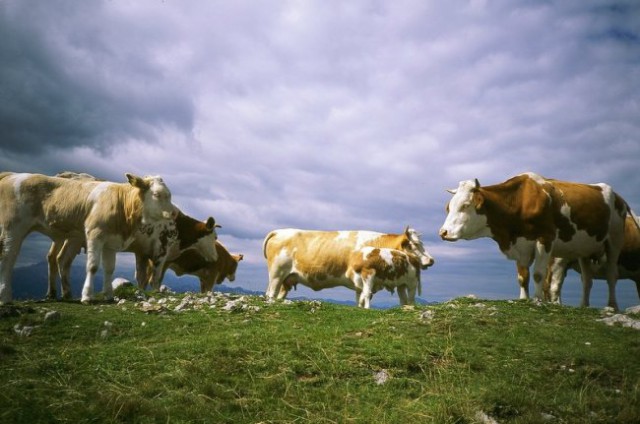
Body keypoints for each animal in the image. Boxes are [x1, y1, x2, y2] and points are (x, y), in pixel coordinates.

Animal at [0, 171, 176, 304]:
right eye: (157, 194)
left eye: (169, 195)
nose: (174, 213)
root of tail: (12, 175)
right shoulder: (95, 234)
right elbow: (92, 266)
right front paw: (87, 296)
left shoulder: (111, 242)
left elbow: (109, 268)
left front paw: (109, 295)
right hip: (13, 227)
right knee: (8, 257)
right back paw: (5, 296)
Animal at [262, 227, 436, 306]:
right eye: (414, 245)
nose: (431, 260)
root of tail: (279, 231)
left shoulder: (360, 284)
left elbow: (360, 298)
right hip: (276, 274)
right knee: (271, 293)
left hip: (287, 279)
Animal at [438, 173, 628, 312]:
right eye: (448, 207)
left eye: (465, 205)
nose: (443, 232)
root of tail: (618, 197)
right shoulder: (521, 246)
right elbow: (523, 277)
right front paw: (523, 299)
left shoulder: (545, 239)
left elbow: (537, 274)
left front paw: (537, 300)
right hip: (584, 250)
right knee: (587, 280)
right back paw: (584, 306)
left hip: (615, 240)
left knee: (611, 275)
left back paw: (612, 306)